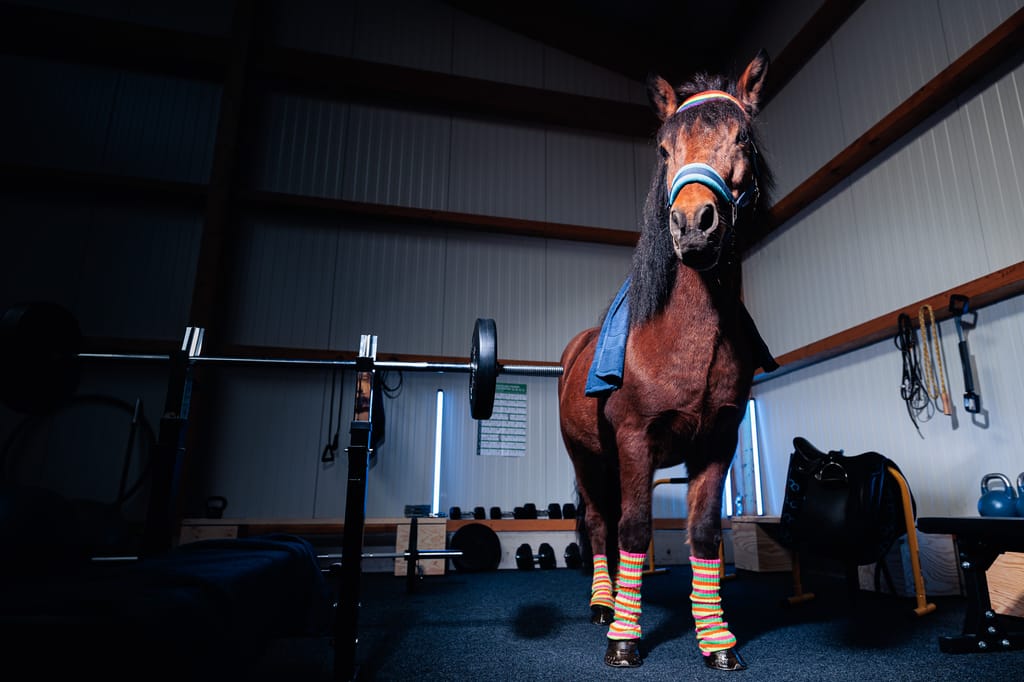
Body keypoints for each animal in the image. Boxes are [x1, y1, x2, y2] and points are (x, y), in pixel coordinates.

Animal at [557, 50, 776, 672]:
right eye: (662, 149)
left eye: (742, 138)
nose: (693, 225)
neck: (684, 338)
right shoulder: (635, 439)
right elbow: (633, 530)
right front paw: (624, 640)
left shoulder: (719, 440)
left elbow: (703, 534)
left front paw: (717, 642)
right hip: (587, 458)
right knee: (600, 524)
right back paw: (604, 606)